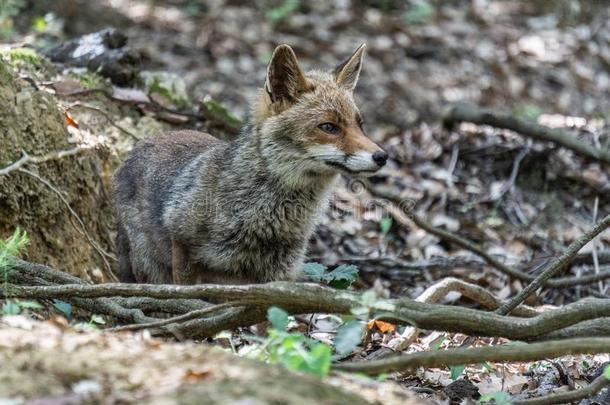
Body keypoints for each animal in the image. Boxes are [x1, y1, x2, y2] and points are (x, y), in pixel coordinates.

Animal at [113, 43, 388, 284]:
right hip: (149, 266)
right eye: (329, 127)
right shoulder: (182, 246)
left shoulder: (275, 275)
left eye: (360, 125)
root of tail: (141, 143)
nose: (382, 156)